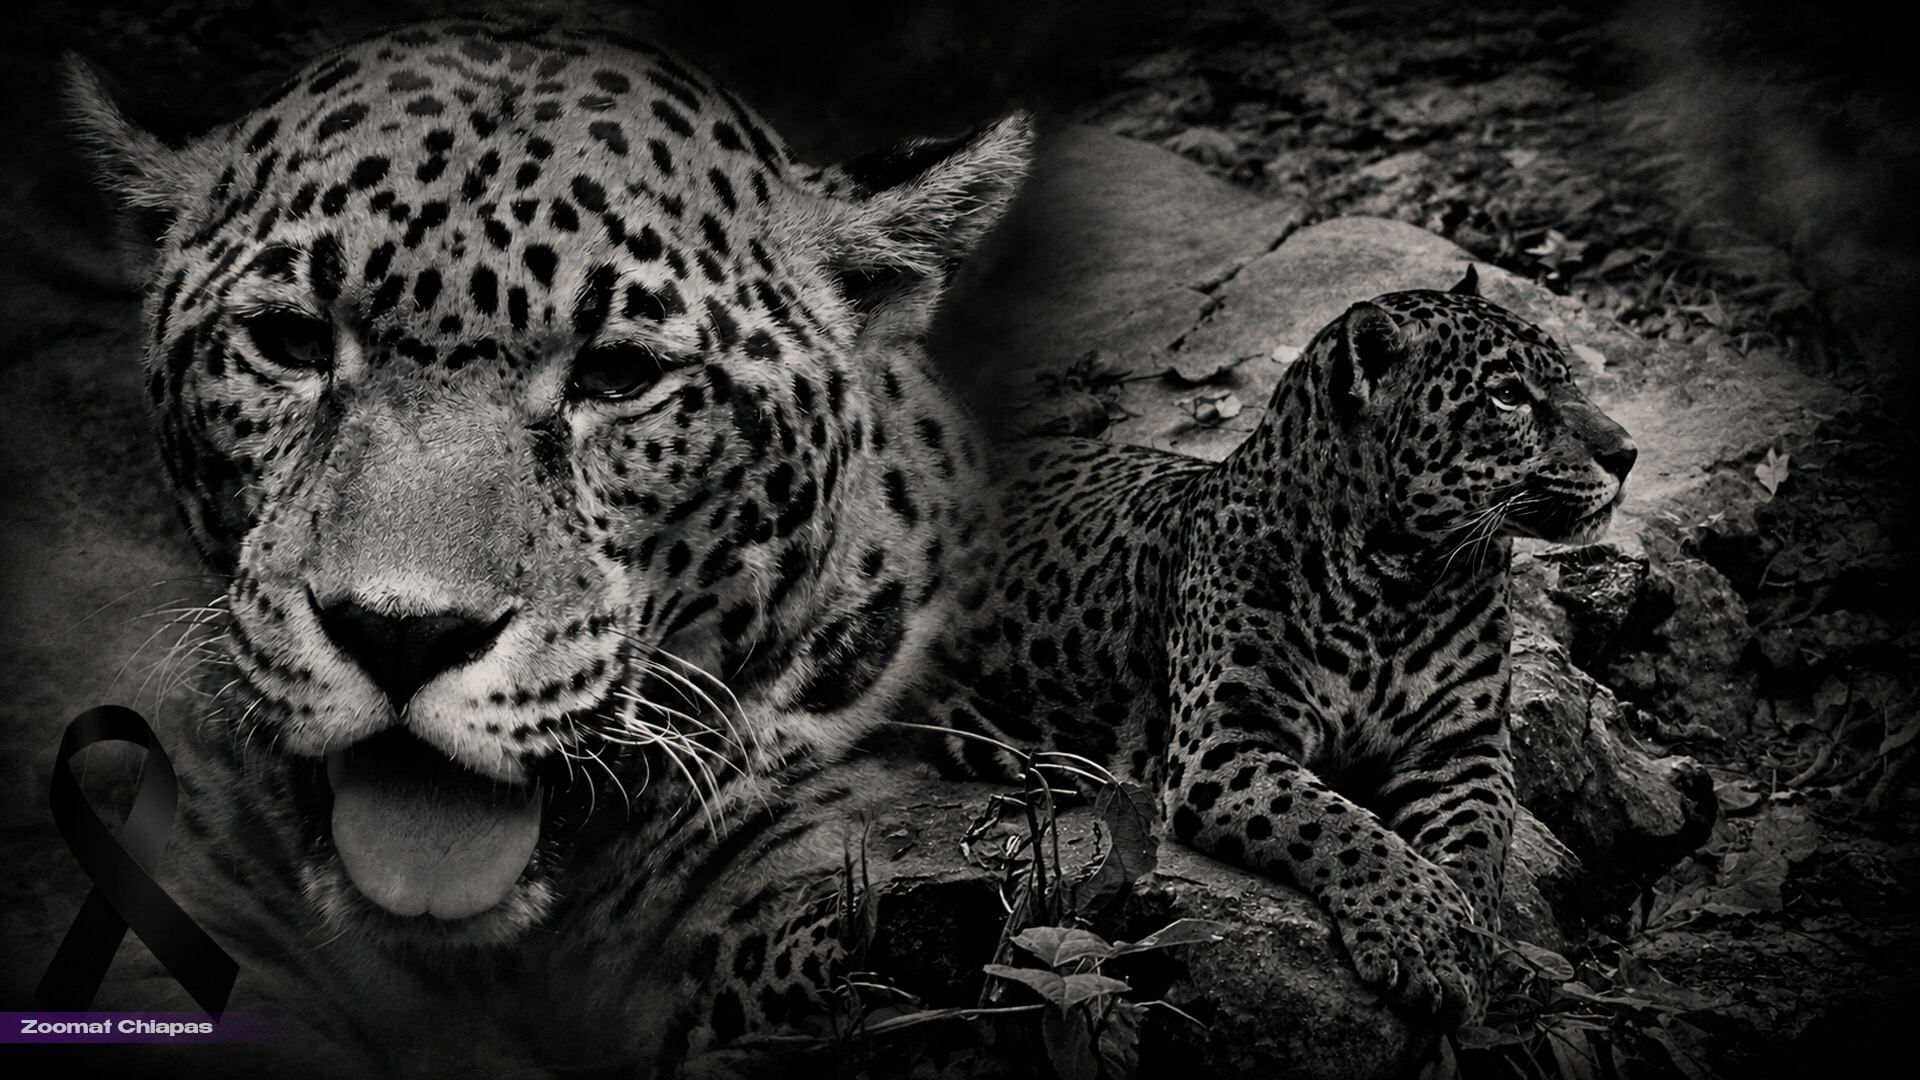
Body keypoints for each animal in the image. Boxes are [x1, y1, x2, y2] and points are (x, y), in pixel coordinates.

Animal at [913, 266, 1637, 1025]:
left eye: (1568, 379)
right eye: (1507, 395)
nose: (1627, 455)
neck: (1402, 581)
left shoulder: (1462, 747)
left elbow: (1478, 840)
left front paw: (1461, 938)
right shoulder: (1225, 746)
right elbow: (1340, 827)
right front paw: (1424, 932)